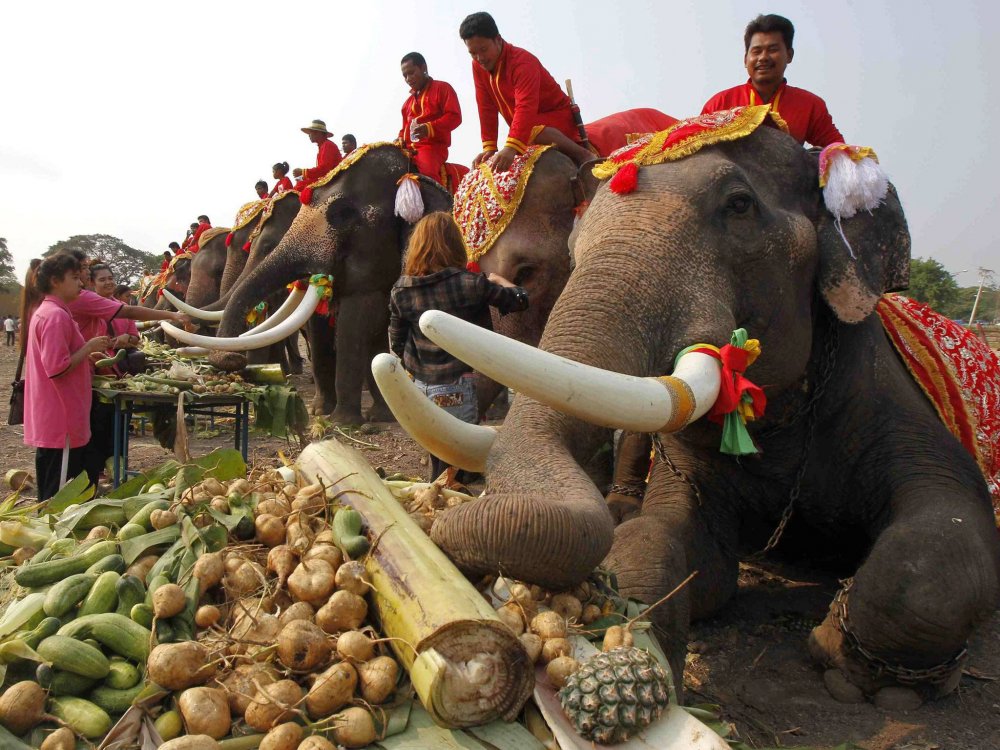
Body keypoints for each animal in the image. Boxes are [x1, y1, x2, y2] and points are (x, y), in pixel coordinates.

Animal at [172, 144, 454, 426]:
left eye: (343, 214)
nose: (234, 360)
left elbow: (359, 317)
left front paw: (343, 421)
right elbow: (326, 324)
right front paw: (329, 412)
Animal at [398, 120, 1000, 708]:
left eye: (739, 205)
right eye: (573, 244)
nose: (440, 525)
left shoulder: (888, 399)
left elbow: (941, 543)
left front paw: (849, 666)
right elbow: (673, 549)